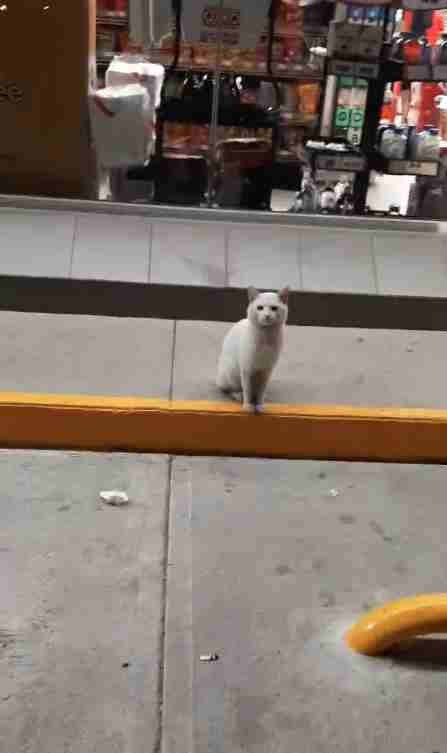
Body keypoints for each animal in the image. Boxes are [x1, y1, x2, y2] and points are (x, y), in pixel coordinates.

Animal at [218, 284, 290, 412]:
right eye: (260, 308)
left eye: (274, 308)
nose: (267, 316)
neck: (266, 336)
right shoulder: (246, 369)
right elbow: (247, 389)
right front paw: (247, 406)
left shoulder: (266, 371)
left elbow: (261, 390)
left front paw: (260, 404)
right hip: (231, 371)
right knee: (230, 388)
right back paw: (238, 395)